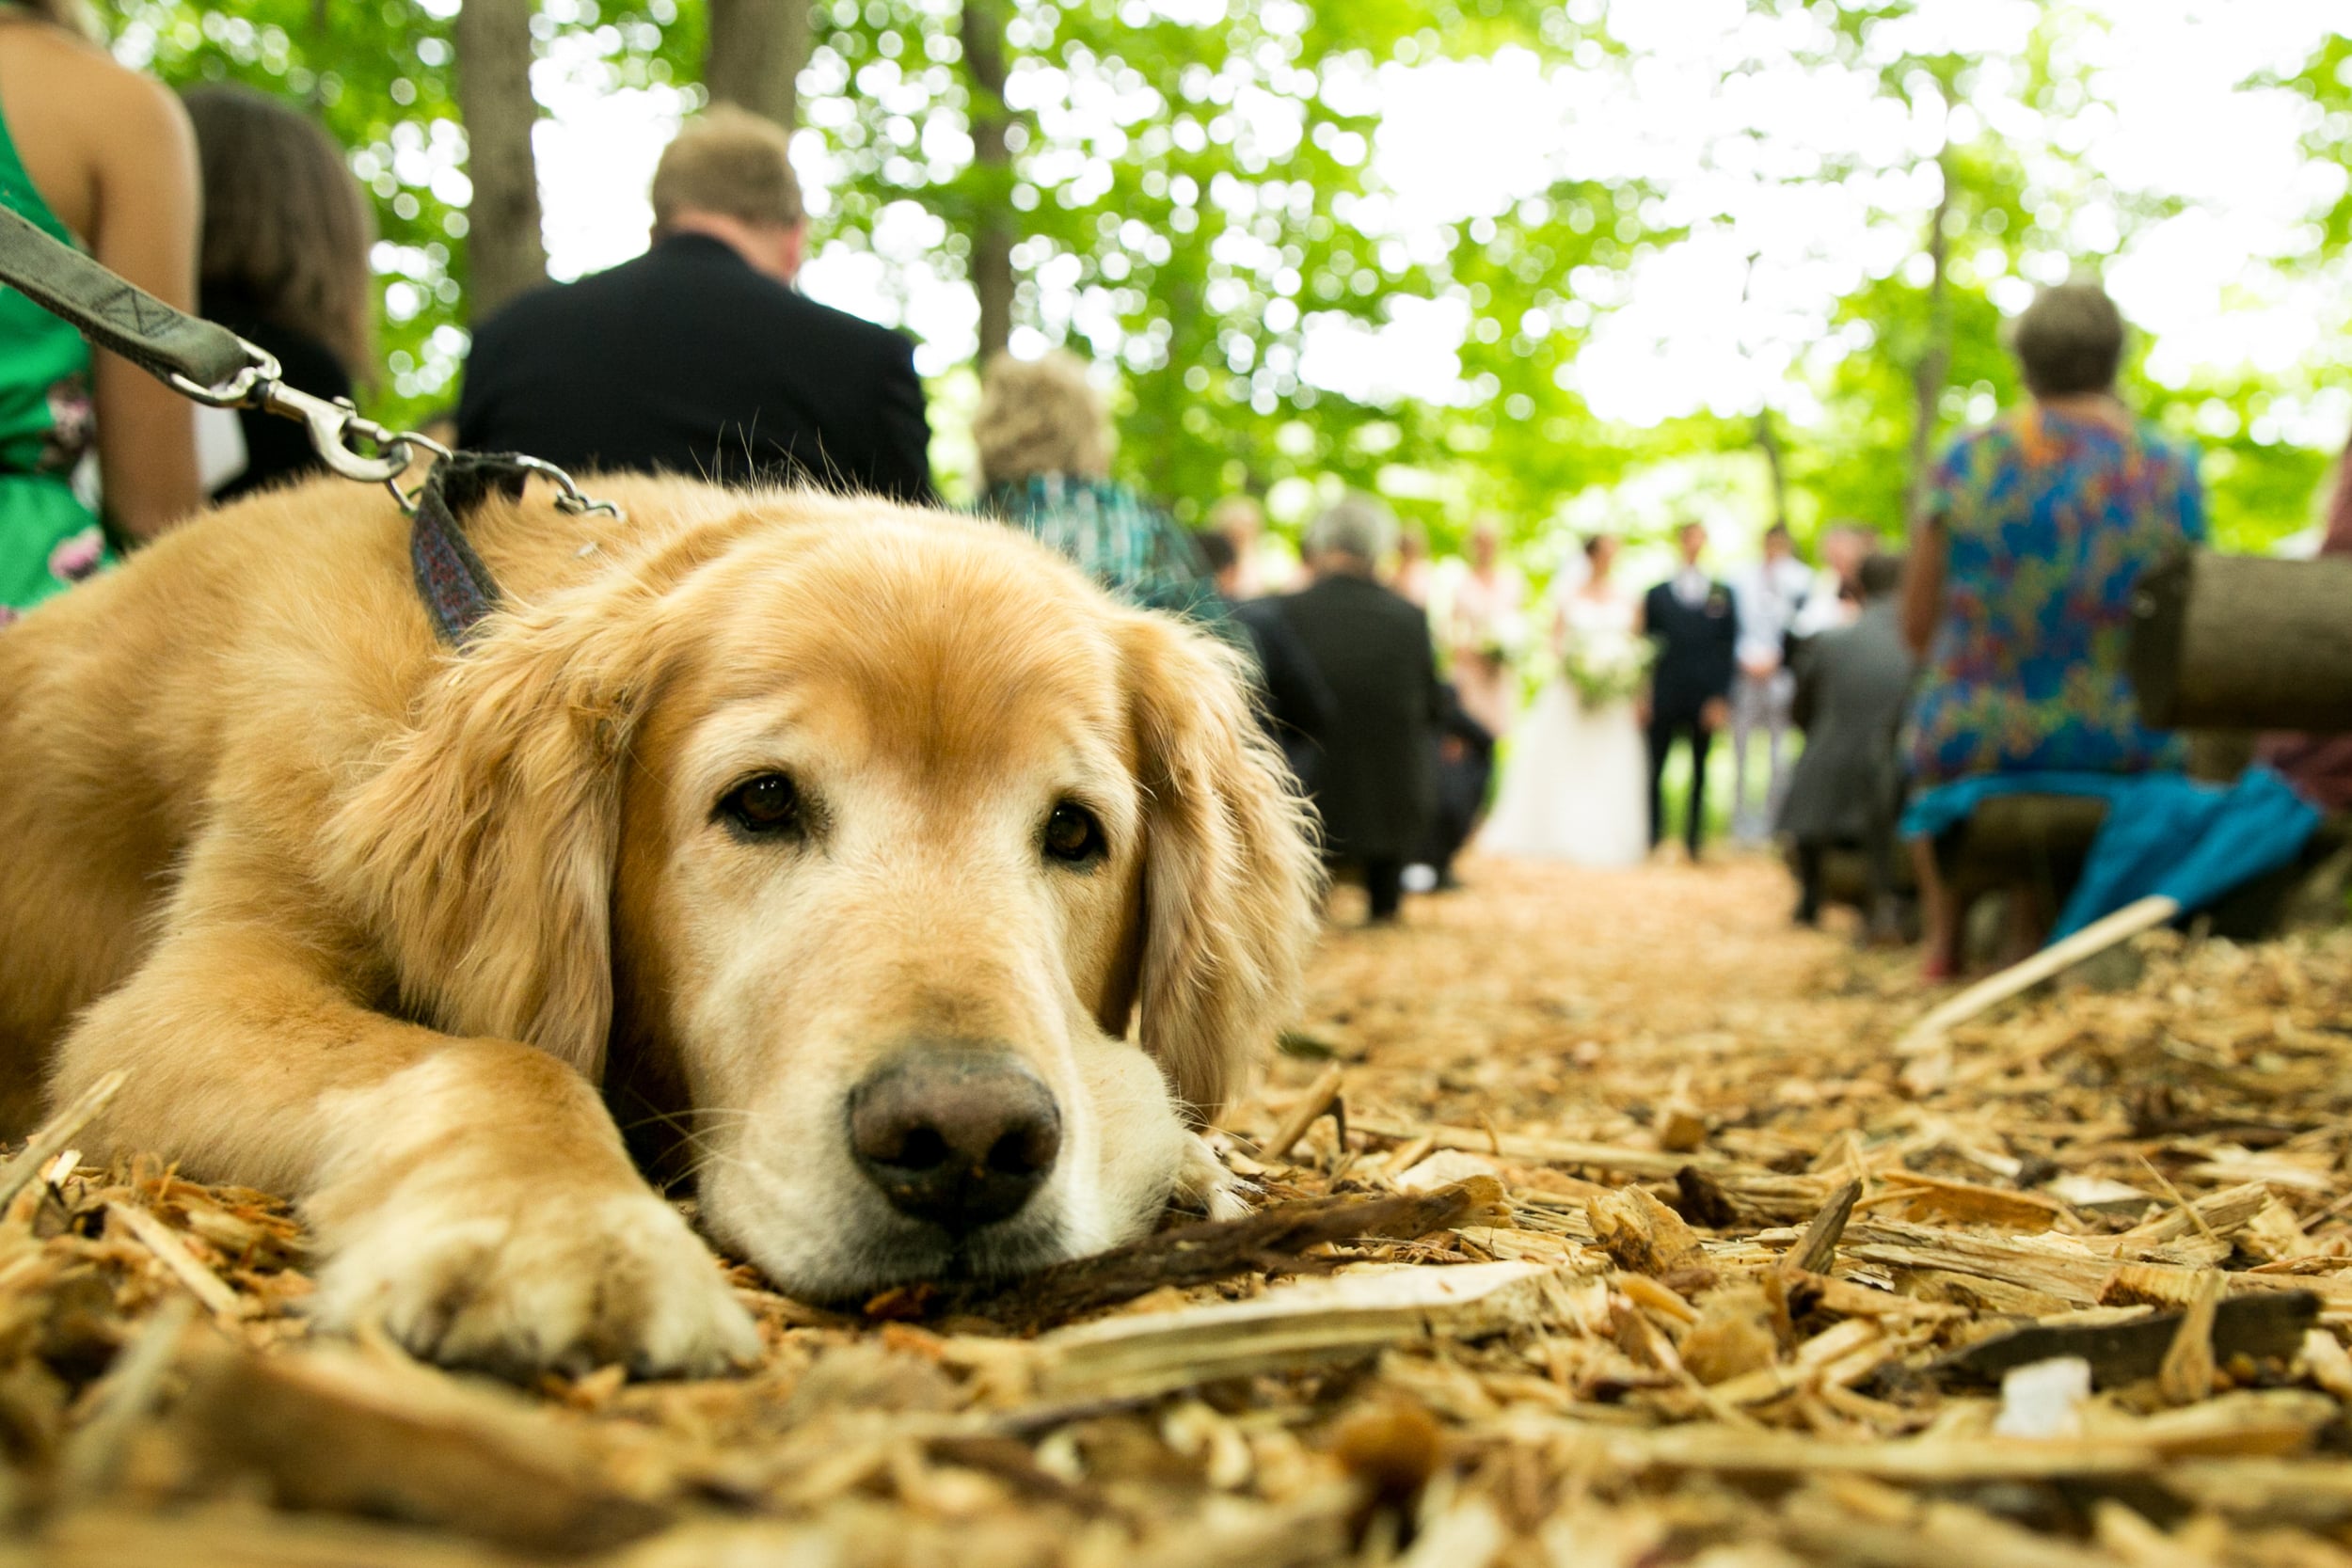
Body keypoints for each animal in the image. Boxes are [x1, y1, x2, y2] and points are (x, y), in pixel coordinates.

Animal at [0, 479, 1327, 1372]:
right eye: (763, 801)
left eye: (1075, 832)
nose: (965, 1143)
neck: (457, 634)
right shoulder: (178, 1004)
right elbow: (500, 1058)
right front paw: (563, 1229)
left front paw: (1180, 1153)